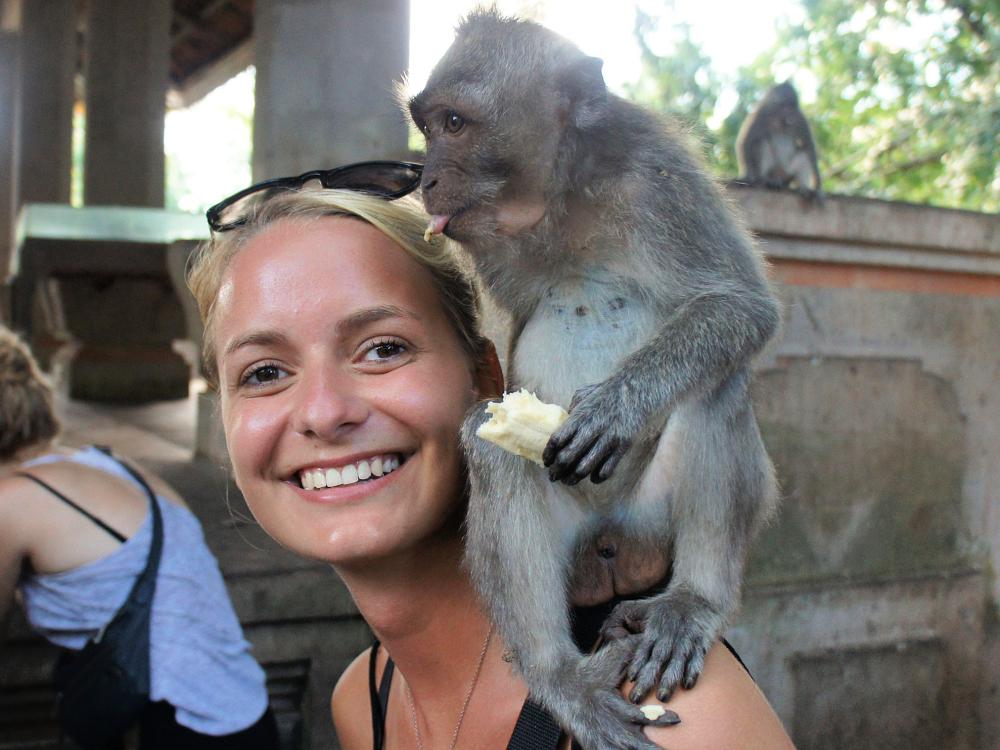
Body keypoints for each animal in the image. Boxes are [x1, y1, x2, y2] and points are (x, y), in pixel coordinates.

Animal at [406, 11, 780, 750]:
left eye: (455, 123)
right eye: (426, 126)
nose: (425, 179)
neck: (558, 202)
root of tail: (612, 542)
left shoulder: (660, 177)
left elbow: (740, 307)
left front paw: (616, 407)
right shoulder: (480, 249)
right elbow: (489, 389)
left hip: (651, 520)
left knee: (716, 384)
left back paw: (692, 603)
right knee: (491, 446)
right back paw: (560, 676)